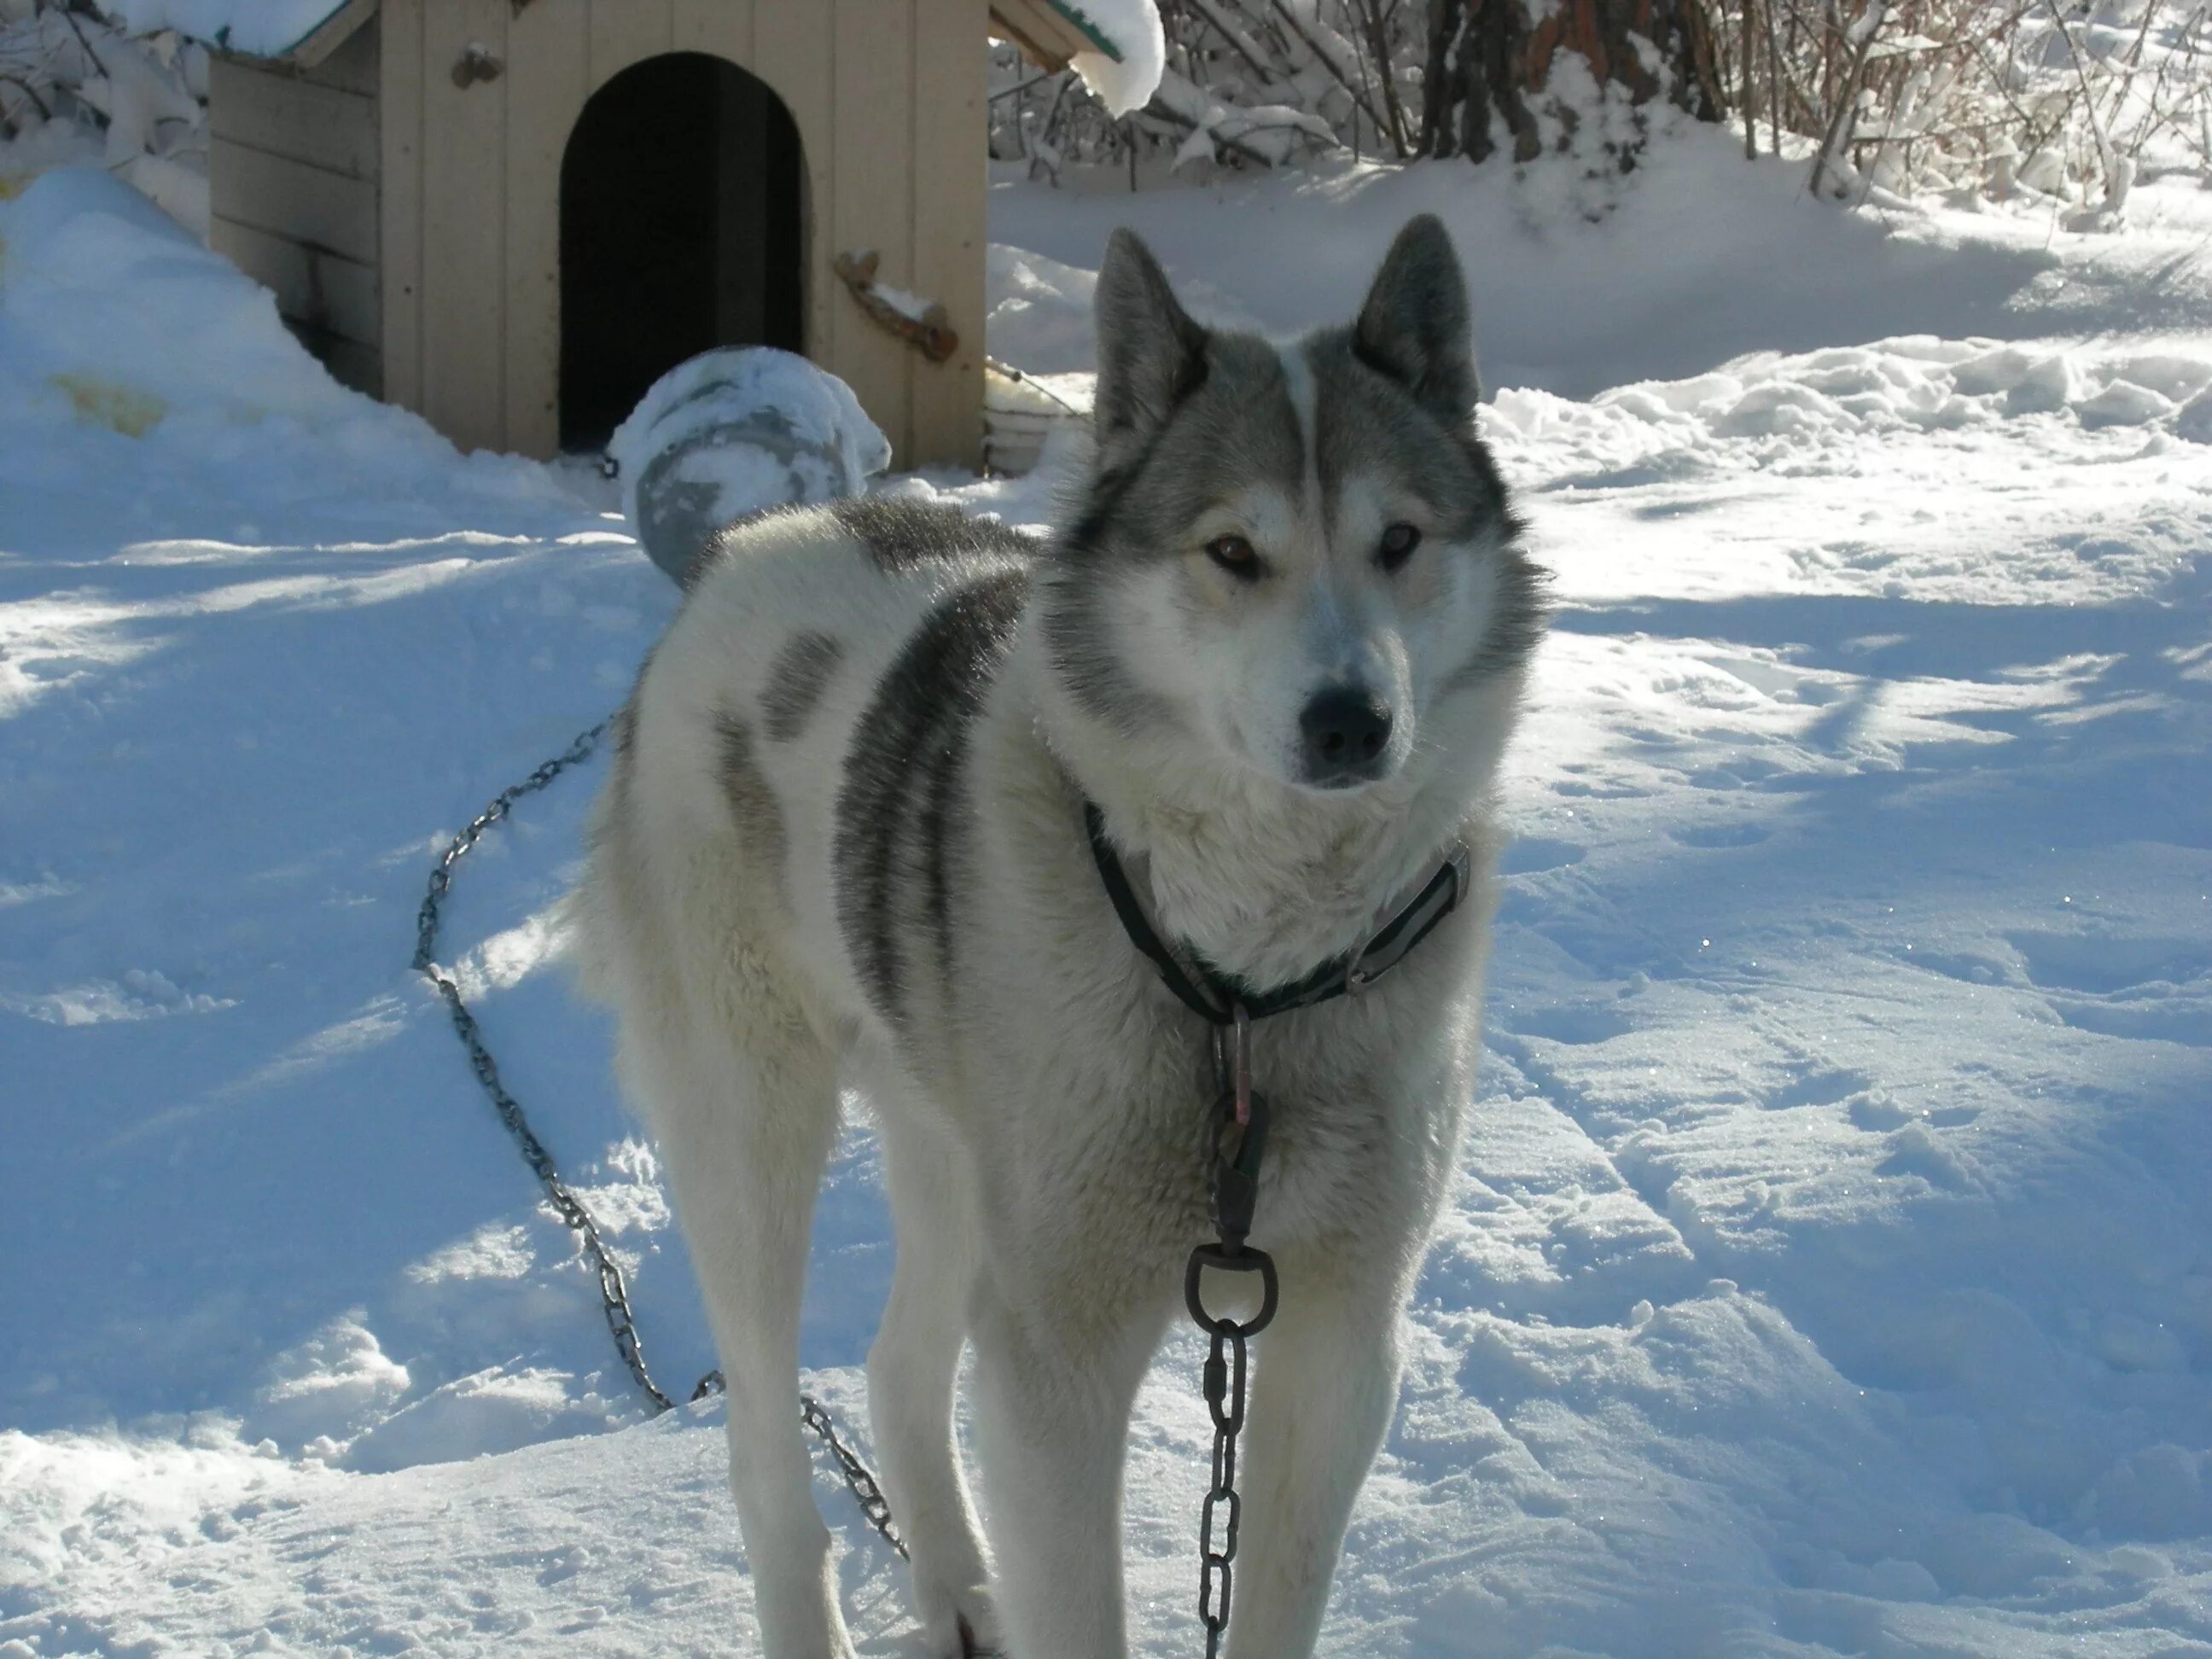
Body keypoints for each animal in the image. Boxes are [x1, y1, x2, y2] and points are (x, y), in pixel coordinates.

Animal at [574, 221, 1540, 1659]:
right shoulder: (1058, 1361)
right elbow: (1080, 1606)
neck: (1247, 990)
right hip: (753, 1140)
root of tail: (753, 541)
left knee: (898, 1368)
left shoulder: (1339, 1340)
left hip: (955, 1160)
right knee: (762, 1441)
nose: (1351, 721)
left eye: (1402, 539)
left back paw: (962, 1593)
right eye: (1232, 552)